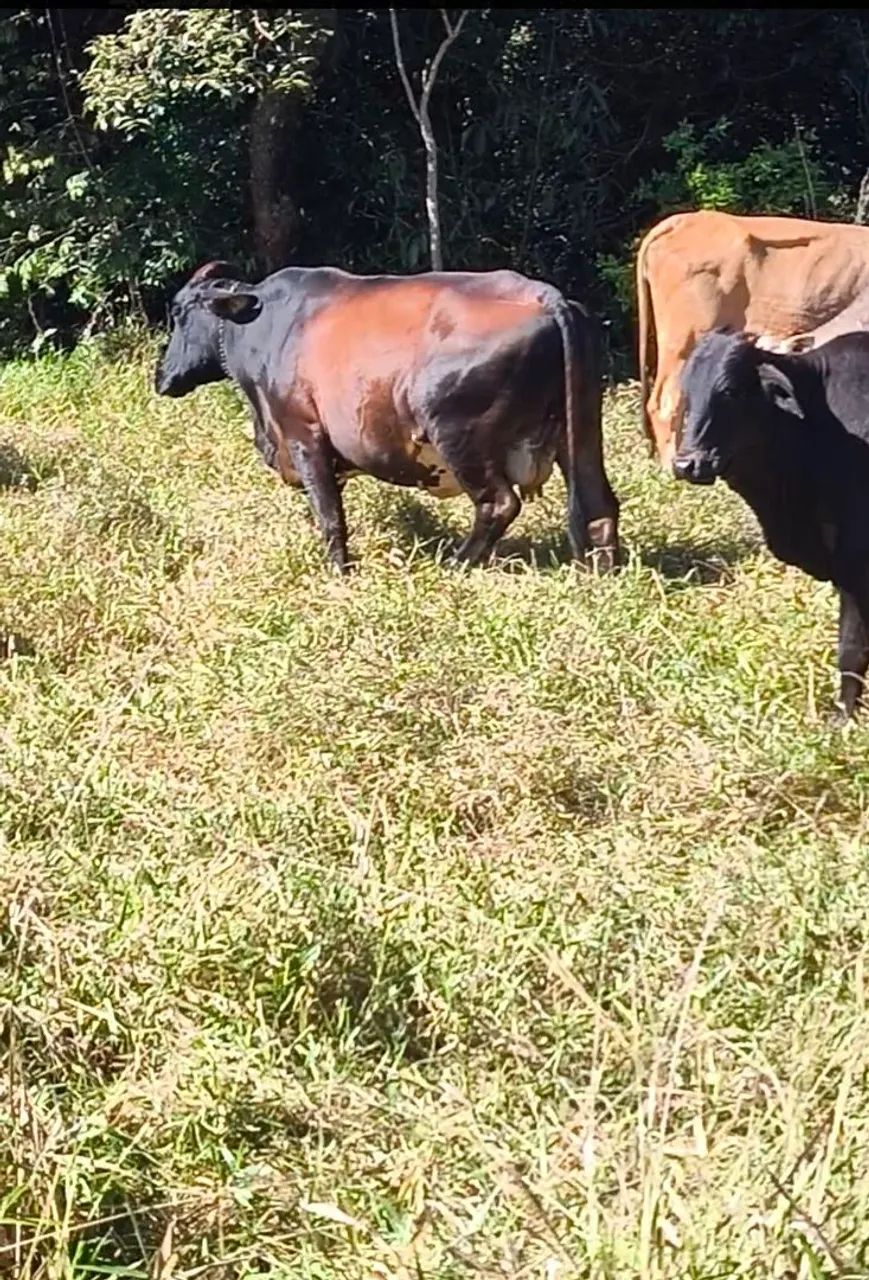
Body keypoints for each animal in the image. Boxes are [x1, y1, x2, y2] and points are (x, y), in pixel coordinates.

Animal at [154, 262, 620, 575]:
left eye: (178, 312)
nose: (161, 376)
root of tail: (546, 296)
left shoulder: (304, 436)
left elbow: (329, 516)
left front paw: (339, 572)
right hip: (580, 434)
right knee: (599, 506)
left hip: (460, 435)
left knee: (498, 503)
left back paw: (456, 564)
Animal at [672, 326, 869, 721]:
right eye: (688, 390)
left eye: (730, 391)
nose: (687, 464)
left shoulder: (856, 564)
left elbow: (851, 648)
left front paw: (842, 717)